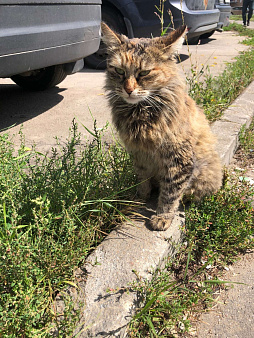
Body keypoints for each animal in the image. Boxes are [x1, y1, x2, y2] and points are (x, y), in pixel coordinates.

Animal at [101, 22, 222, 231]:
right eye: (119, 71)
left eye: (144, 73)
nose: (128, 89)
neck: (141, 113)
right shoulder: (139, 155)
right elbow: (143, 181)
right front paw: (139, 198)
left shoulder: (179, 159)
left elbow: (170, 194)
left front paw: (162, 217)